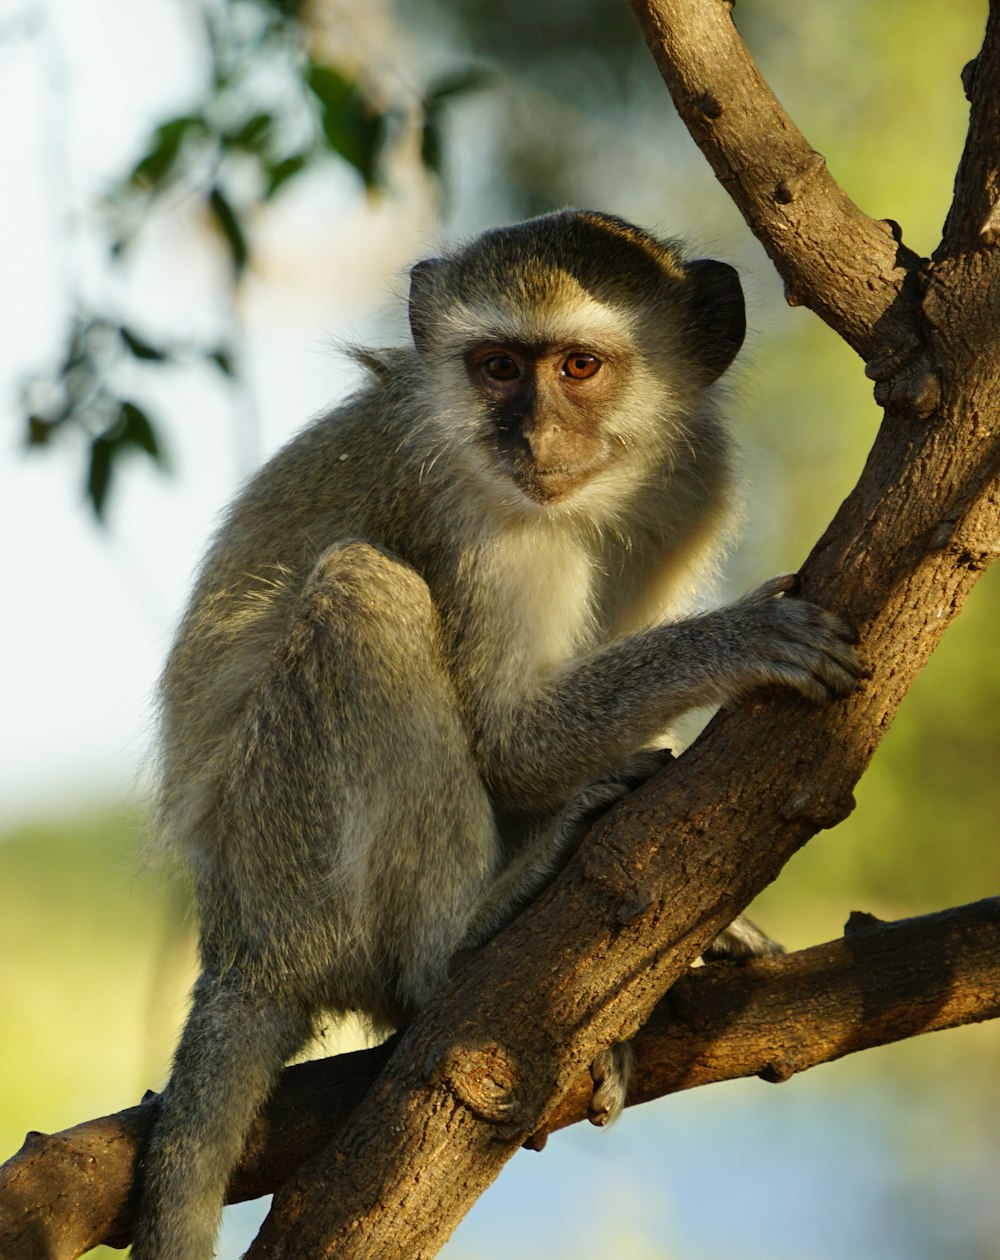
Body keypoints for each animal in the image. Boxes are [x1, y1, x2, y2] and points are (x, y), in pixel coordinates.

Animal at [132, 211, 866, 1254]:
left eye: (578, 367)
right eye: (497, 368)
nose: (534, 437)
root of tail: (239, 949)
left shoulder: (696, 488)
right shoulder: (474, 507)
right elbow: (509, 746)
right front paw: (737, 638)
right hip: (291, 862)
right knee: (366, 590)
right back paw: (461, 940)